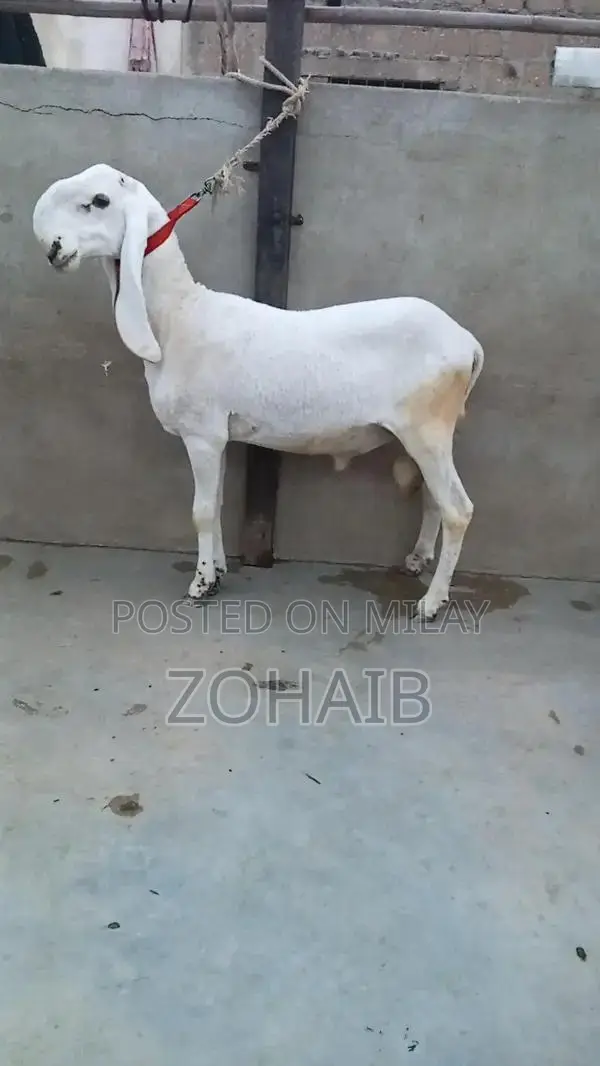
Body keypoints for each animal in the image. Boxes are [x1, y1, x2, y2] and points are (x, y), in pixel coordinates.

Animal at [32, 164, 483, 619]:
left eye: (100, 201)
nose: (53, 249)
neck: (178, 316)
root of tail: (467, 343)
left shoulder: (201, 434)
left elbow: (201, 511)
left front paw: (201, 584)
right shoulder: (218, 436)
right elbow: (215, 505)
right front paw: (217, 571)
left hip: (427, 427)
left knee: (458, 510)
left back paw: (431, 602)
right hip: (428, 435)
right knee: (434, 500)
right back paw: (417, 561)